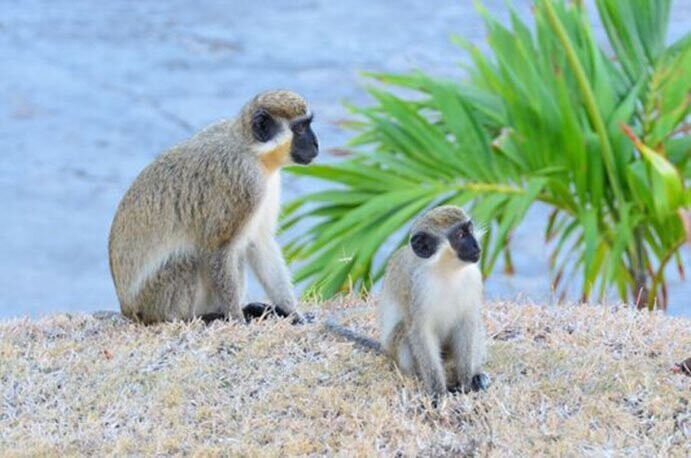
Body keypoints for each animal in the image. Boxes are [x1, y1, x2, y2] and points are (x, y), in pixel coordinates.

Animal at [109, 89, 318, 324]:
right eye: (300, 128)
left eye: (307, 124)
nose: (315, 144)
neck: (253, 151)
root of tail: (127, 309)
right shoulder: (245, 181)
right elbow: (217, 248)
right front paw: (236, 319)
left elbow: (259, 243)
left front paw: (293, 312)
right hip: (154, 299)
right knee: (190, 259)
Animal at [328, 206, 490, 396]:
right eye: (460, 235)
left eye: (469, 230)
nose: (476, 246)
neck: (446, 271)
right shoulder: (416, 287)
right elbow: (420, 332)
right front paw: (438, 393)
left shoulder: (473, 277)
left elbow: (467, 325)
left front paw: (465, 384)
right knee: (404, 330)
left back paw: (477, 376)